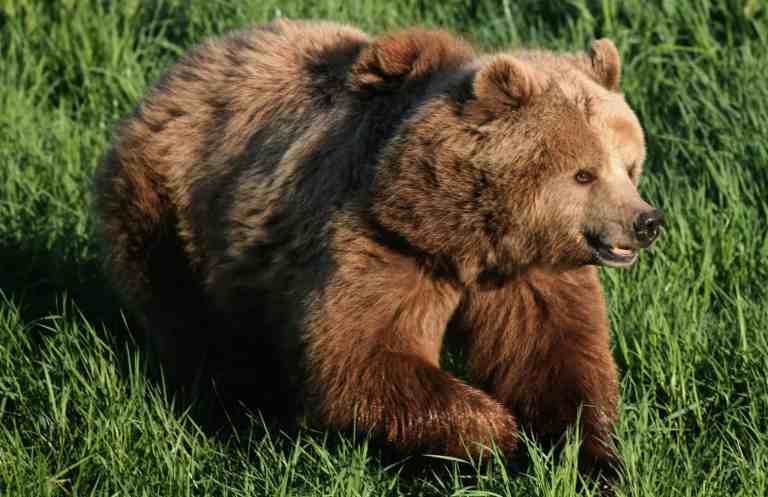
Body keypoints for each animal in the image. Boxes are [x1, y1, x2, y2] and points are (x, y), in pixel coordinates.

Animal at [93, 19, 662, 484]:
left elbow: (555, 357)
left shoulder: (527, 275)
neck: (461, 236)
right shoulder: (380, 242)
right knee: (191, 318)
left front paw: (590, 457)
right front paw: (498, 435)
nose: (646, 222)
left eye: (630, 165)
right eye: (584, 173)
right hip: (172, 208)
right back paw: (235, 408)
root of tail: (185, 64)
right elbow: (359, 354)